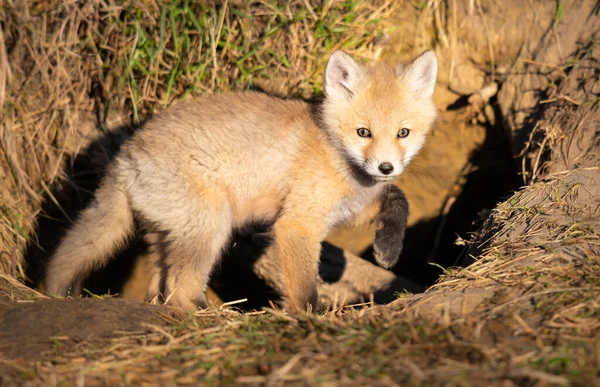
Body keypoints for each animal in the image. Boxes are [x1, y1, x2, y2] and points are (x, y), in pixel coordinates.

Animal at [43, 50, 436, 312]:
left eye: (403, 133)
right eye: (363, 132)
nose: (385, 167)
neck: (337, 159)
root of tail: (126, 154)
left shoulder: (351, 209)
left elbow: (398, 200)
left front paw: (388, 248)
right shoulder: (297, 225)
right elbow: (305, 291)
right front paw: (311, 320)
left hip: (168, 237)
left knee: (160, 288)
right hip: (210, 226)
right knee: (179, 290)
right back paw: (213, 317)